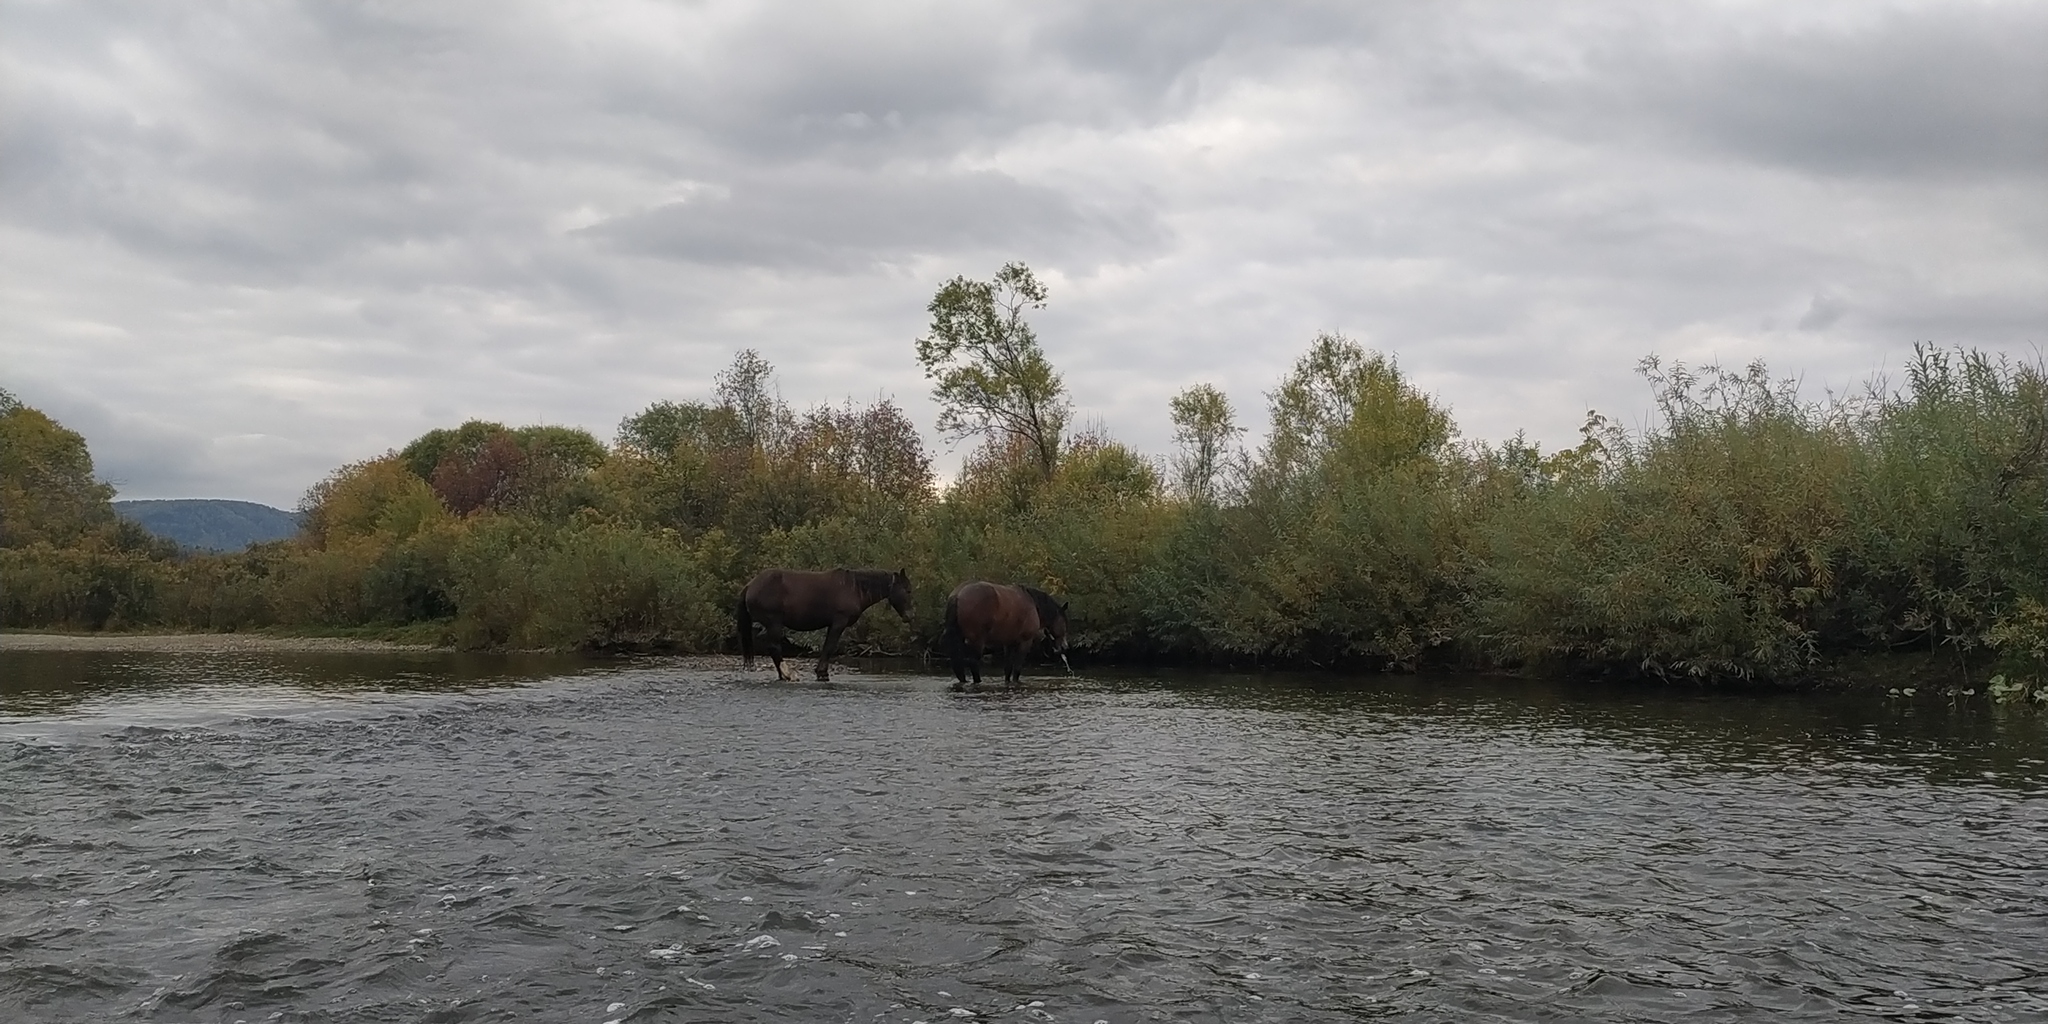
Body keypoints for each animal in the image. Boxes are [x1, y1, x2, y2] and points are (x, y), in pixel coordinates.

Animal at [737, 569, 913, 679]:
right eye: (908, 590)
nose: (910, 616)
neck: (854, 588)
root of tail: (750, 586)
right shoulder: (838, 623)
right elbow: (829, 647)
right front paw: (821, 671)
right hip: (774, 623)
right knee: (774, 647)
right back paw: (788, 674)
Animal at [942, 581, 1073, 692]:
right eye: (1065, 623)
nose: (1065, 647)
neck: (1033, 605)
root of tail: (958, 595)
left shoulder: (1008, 643)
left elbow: (1008, 669)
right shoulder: (1025, 642)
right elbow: (1017, 669)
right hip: (977, 641)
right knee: (973, 664)